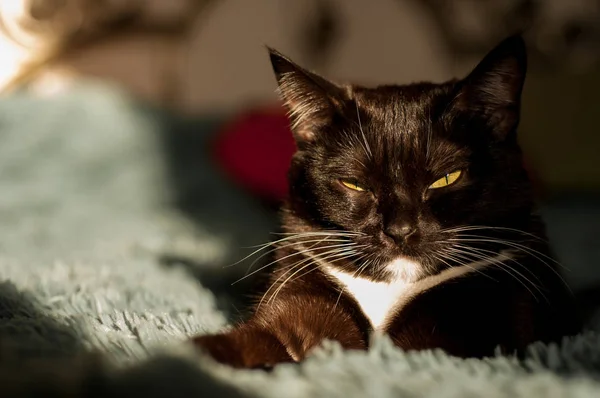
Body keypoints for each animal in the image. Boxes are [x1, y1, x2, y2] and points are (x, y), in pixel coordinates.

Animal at [192, 35, 580, 368]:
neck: (391, 286)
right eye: (355, 184)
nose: (400, 230)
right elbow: (268, 340)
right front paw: (196, 356)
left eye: (446, 178)